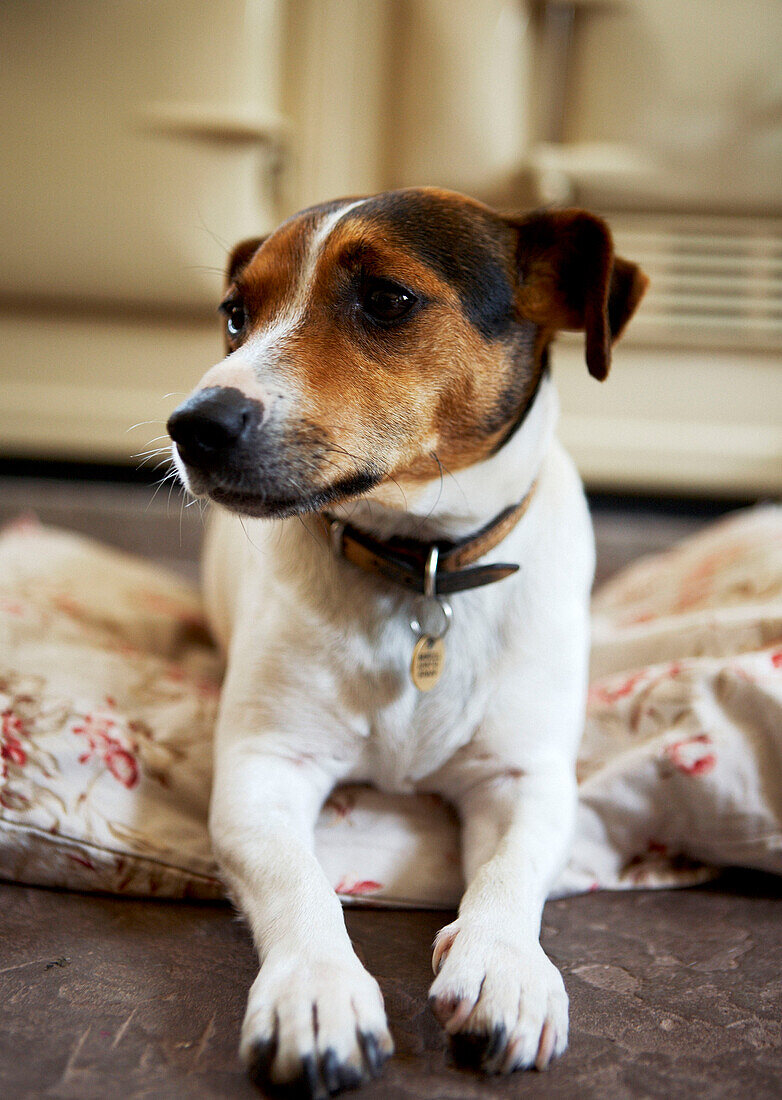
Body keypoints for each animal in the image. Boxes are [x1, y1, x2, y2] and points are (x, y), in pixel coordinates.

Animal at [167, 187, 646, 1091]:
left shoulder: (525, 776)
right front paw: (316, 989)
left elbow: (510, 870)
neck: (418, 567)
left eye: (387, 299)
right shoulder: (262, 769)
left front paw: (504, 965)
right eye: (236, 315)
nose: (192, 424)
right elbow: (301, 882)